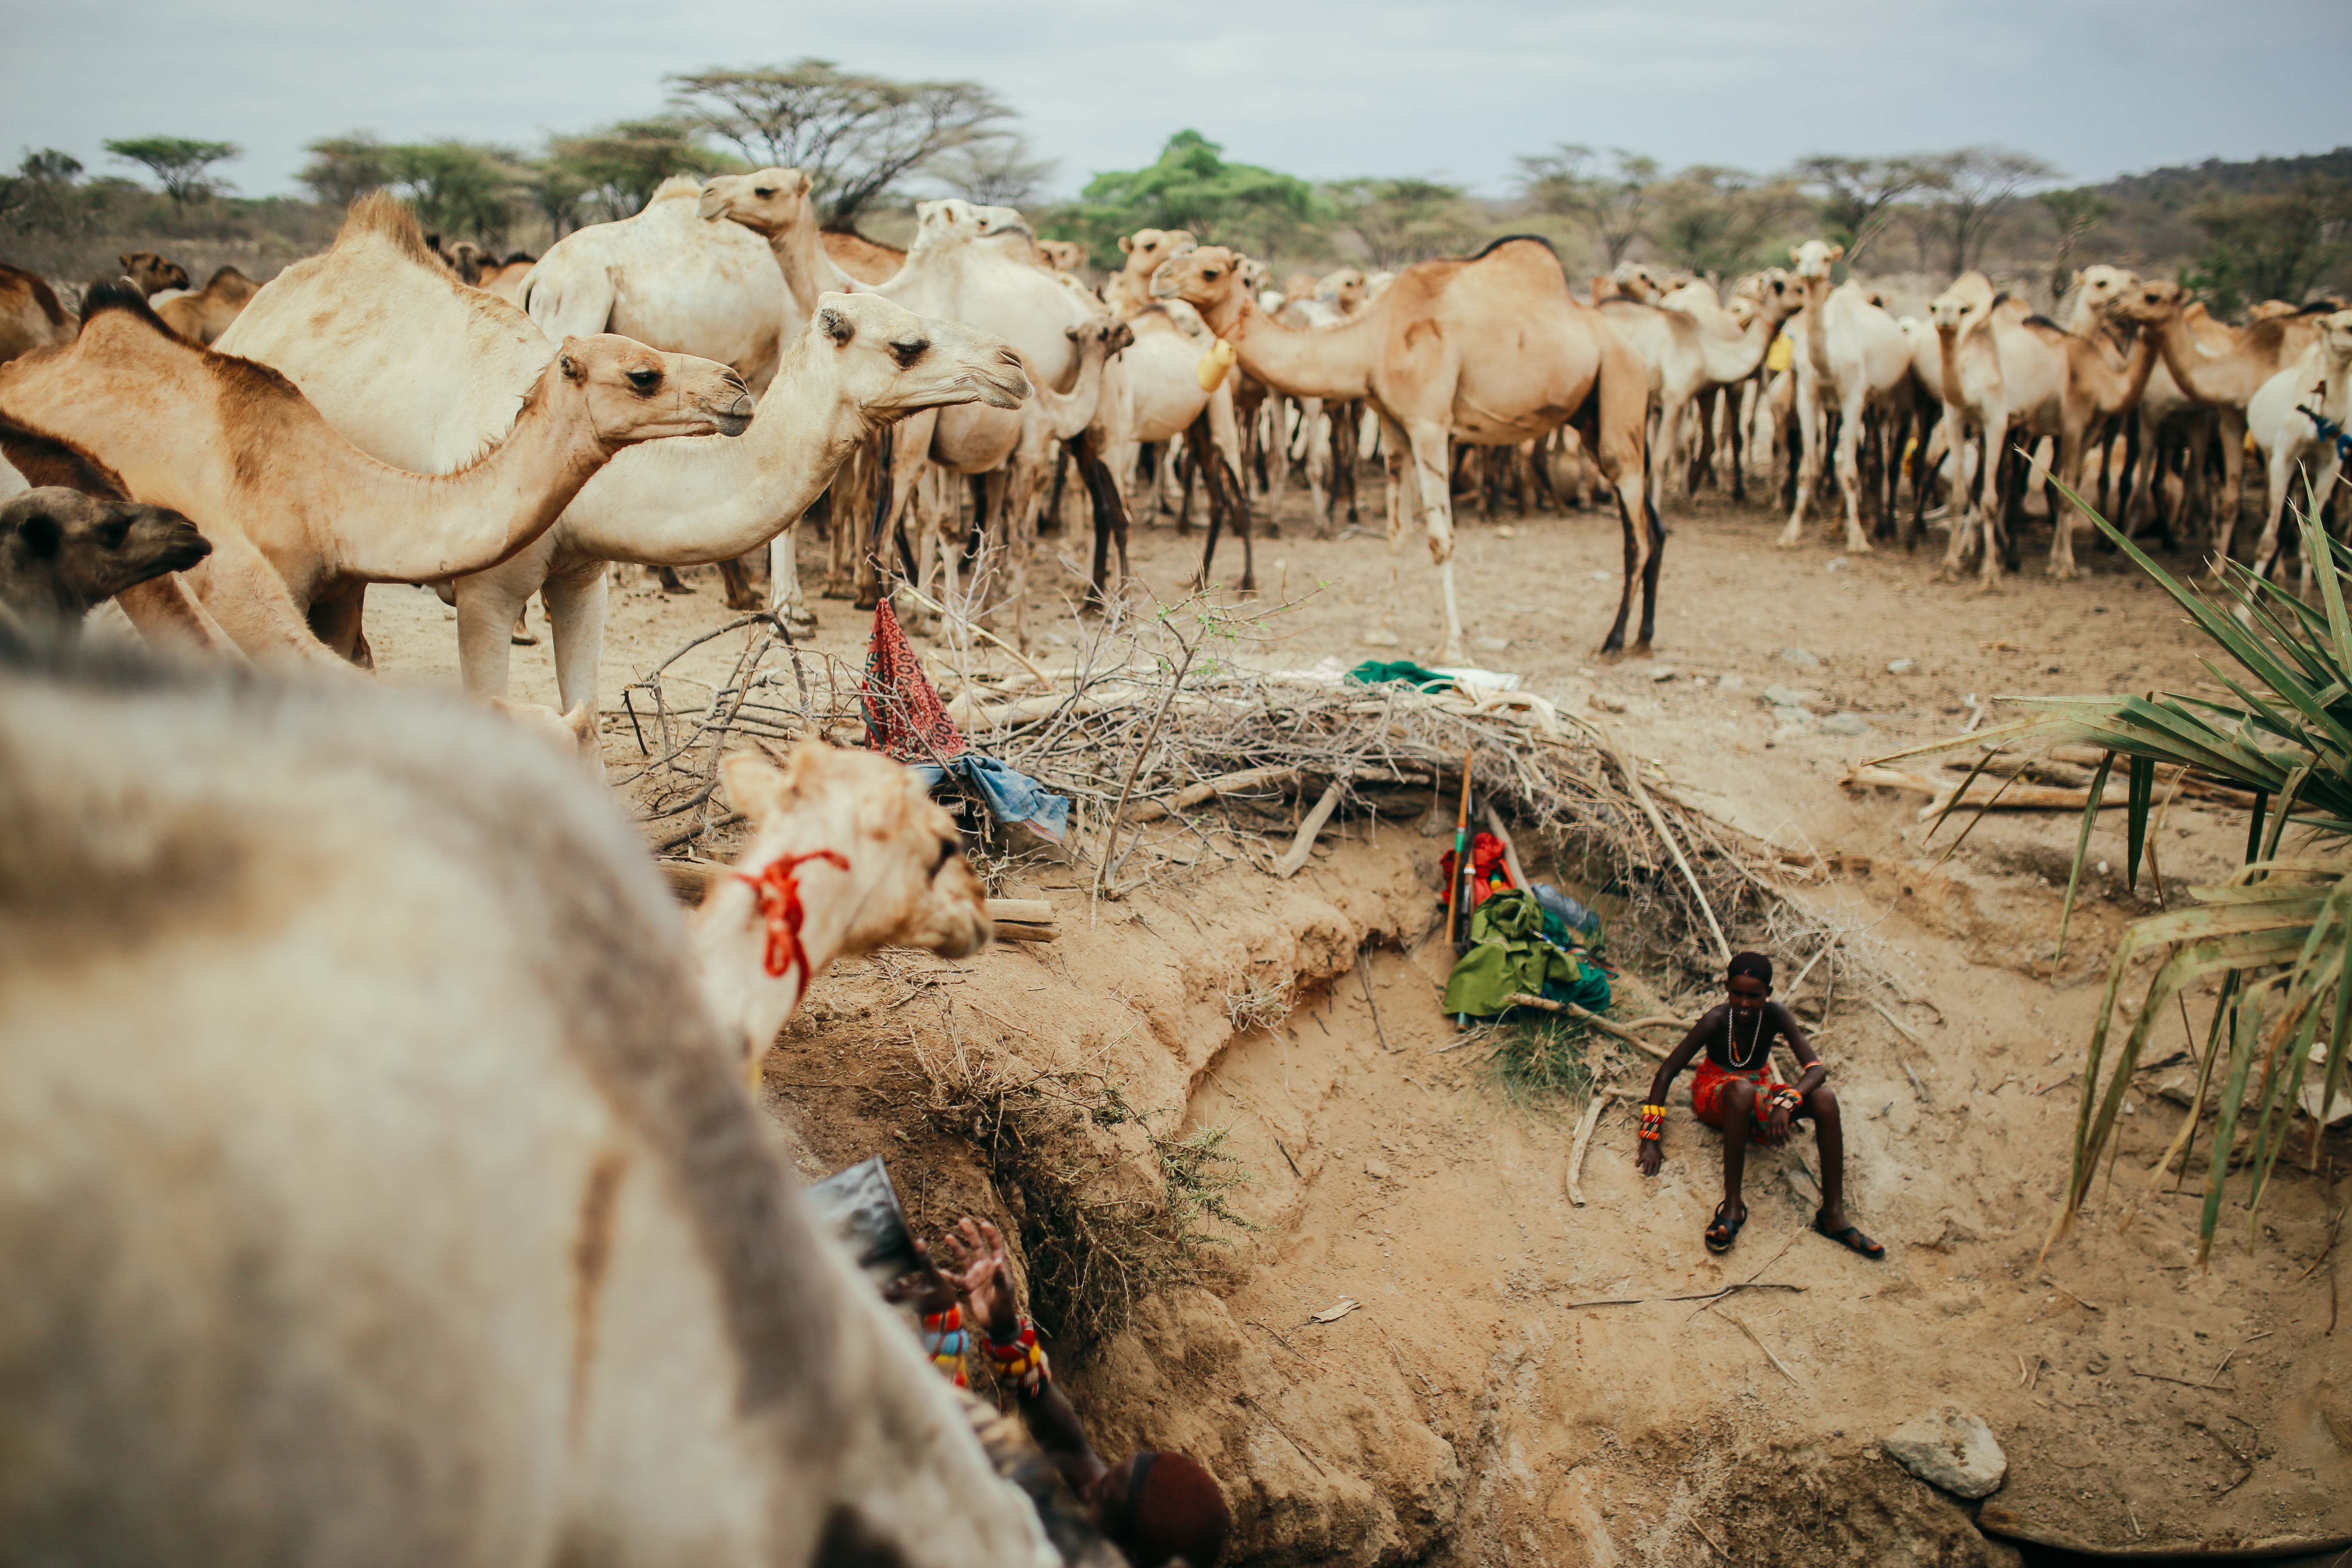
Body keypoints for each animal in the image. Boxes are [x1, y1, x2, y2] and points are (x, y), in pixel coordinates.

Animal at [1157, 238, 1659, 658]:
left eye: (1211, 271)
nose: (1161, 277)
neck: (1372, 339)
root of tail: (1632, 350)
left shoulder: (1430, 424)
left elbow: (1440, 537)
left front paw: (1451, 647)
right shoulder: (1395, 426)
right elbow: (1397, 531)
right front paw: (1383, 629)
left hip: (1621, 390)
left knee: (1636, 532)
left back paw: (1614, 640)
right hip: (1591, 417)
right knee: (1651, 526)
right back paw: (1643, 637)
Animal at [2105, 280, 2326, 571]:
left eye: (2152, 297)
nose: (2115, 303)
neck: (2245, 369)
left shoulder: (2271, 438)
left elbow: (2274, 505)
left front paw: (2273, 574)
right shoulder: (2231, 420)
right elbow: (2231, 500)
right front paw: (2216, 571)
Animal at [2245, 307, 2352, 585]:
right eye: (2348, 327)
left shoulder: (2331, 465)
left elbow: (2315, 545)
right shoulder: (2282, 457)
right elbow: (2268, 541)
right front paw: (2247, 598)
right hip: (2268, 455)